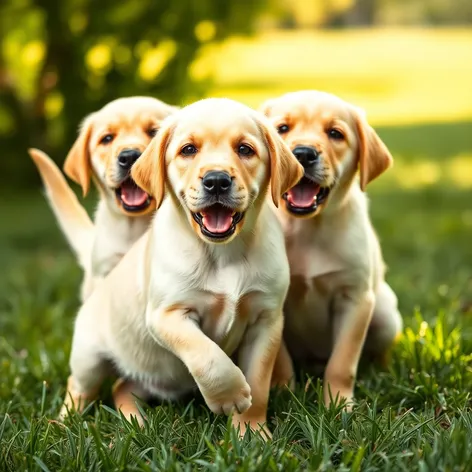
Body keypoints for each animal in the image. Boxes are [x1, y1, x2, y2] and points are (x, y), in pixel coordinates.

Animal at [260, 91, 404, 406]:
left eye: (335, 133)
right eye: (282, 128)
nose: (303, 153)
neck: (308, 228)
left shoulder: (355, 298)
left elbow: (343, 361)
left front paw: (339, 403)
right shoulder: (274, 302)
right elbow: (280, 358)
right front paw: (284, 391)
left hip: (384, 312)